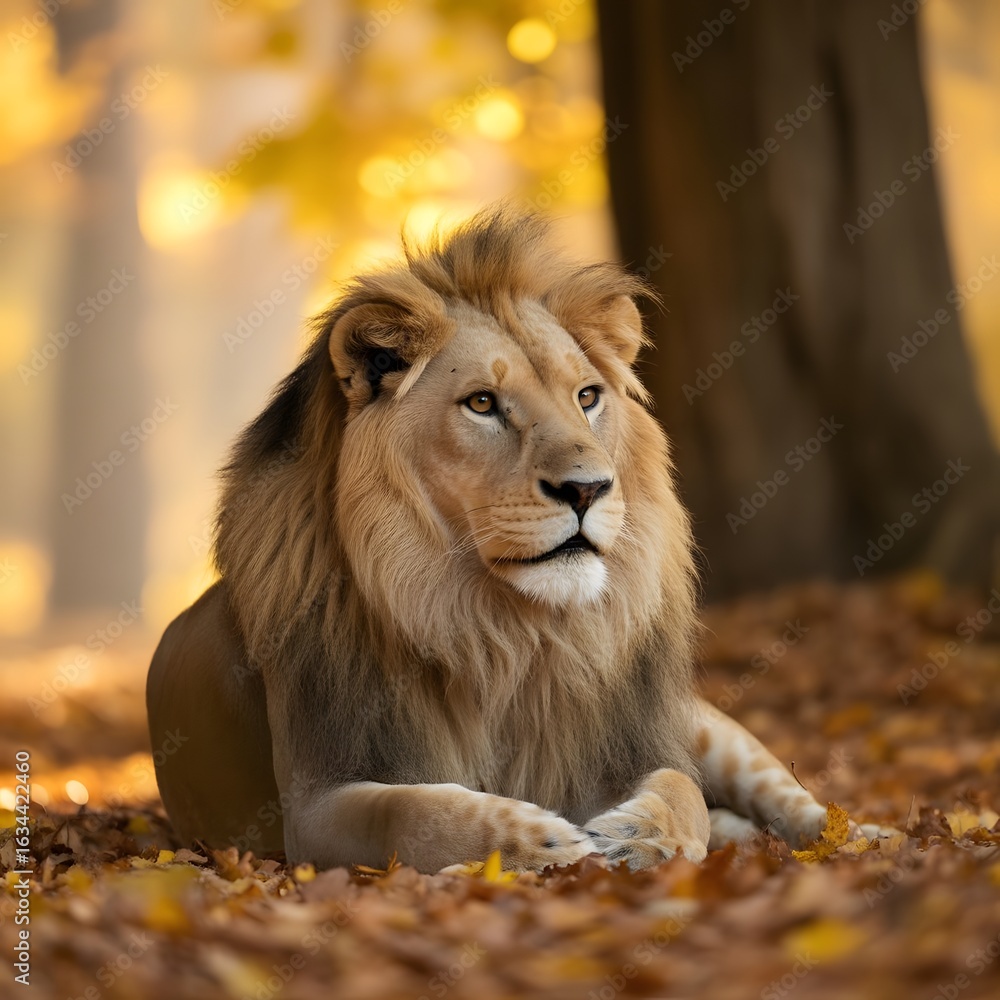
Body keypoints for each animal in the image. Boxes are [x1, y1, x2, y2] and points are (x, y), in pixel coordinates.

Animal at [146, 206, 833, 872]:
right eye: (482, 403)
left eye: (587, 396)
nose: (588, 488)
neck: (502, 630)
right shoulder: (313, 803)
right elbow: (410, 812)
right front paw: (537, 840)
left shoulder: (622, 745)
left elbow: (679, 788)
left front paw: (641, 834)